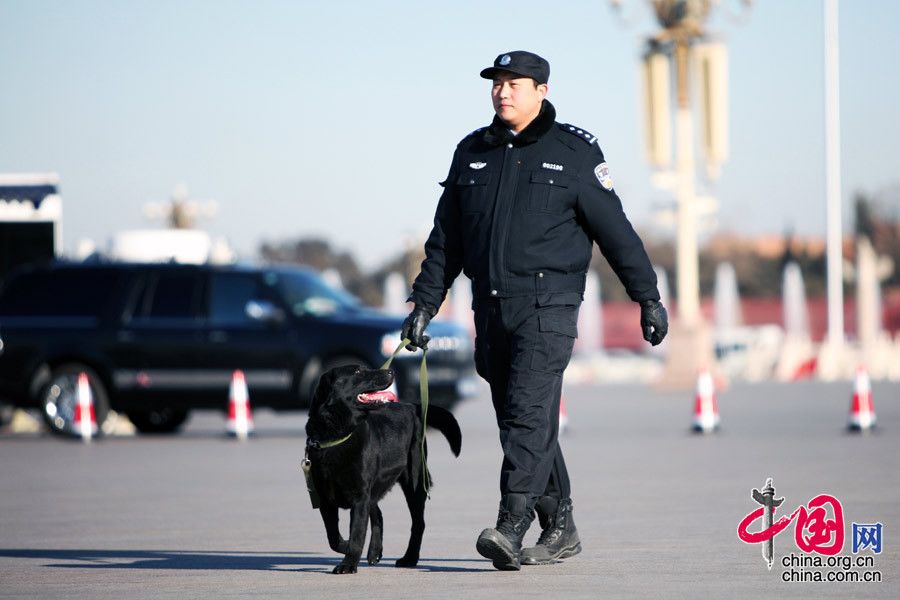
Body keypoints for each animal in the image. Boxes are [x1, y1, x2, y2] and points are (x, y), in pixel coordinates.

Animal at [304, 364, 460, 576]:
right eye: (358, 372)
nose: (390, 372)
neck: (339, 437)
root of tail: (412, 407)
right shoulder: (325, 498)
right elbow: (333, 536)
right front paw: (345, 547)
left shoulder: (360, 496)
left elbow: (357, 533)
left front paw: (348, 564)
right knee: (378, 514)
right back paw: (375, 552)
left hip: (414, 482)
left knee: (418, 523)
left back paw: (409, 558)